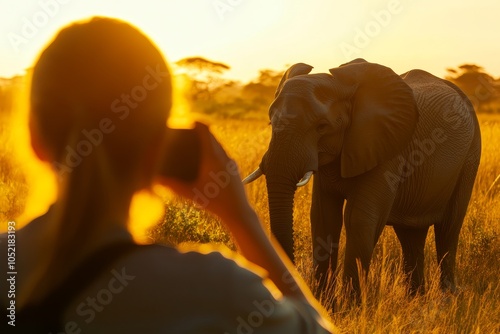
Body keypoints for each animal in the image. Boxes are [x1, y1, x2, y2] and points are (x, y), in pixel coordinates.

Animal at [244, 59, 482, 298]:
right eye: (270, 123)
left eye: (322, 126)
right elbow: (324, 217)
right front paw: (325, 302)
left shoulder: (387, 147)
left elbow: (358, 218)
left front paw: (350, 305)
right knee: (411, 234)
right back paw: (416, 298)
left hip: (470, 156)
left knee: (448, 228)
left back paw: (448, 297)